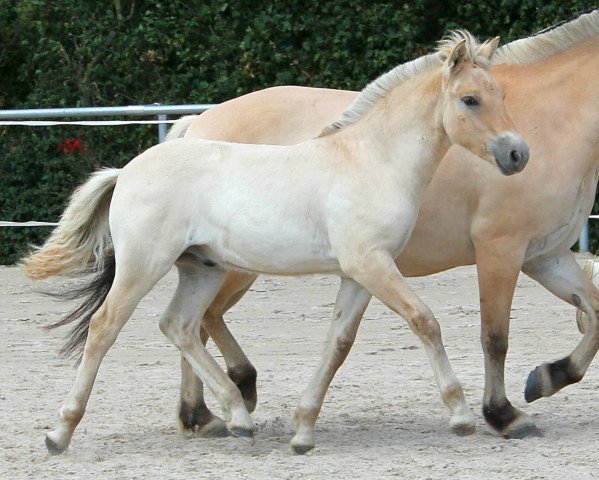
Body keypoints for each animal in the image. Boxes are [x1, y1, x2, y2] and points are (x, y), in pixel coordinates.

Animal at [21, 31, 528, 454]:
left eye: (502, 95)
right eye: (470, 99)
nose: (517, 153)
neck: (370, 160)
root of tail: (127, 170)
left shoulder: (360, 273)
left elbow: (338, 343)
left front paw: (303, 432)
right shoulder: (371, 263)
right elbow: (425, 321)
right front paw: (461, 415)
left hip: (202, 268)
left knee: (179, 325)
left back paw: (237, 416)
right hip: (144, 265)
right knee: (105, 327)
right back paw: (59, 433)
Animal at [163, 10, 599, 450]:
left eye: (503, 98)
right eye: (471, 100)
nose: (517, 155)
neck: (553, 120)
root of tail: (197, 124)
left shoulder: (545, 256)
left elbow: (594, 314)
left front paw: (548, 378)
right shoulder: (500, 252)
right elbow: (495, 337)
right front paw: (504, 414)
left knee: (196, 323)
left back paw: (201, 416)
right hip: (235, 268)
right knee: (201, 320)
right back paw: (227, 397)